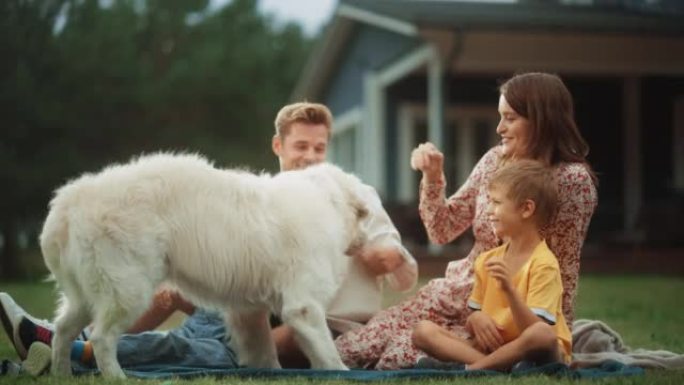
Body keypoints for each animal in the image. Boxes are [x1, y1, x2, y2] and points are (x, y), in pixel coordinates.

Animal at [38, 152, 368, 376]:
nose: (365, 241)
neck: (327, 199)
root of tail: (72, 200)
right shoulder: (304, 305)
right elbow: (326, 351)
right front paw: (341, 372)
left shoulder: (248, 312)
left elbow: (262, 349)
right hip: (127, 286)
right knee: (102, 338)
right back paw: (117, 377)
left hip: (85, 292)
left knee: (63, 330)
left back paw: (61, 374)